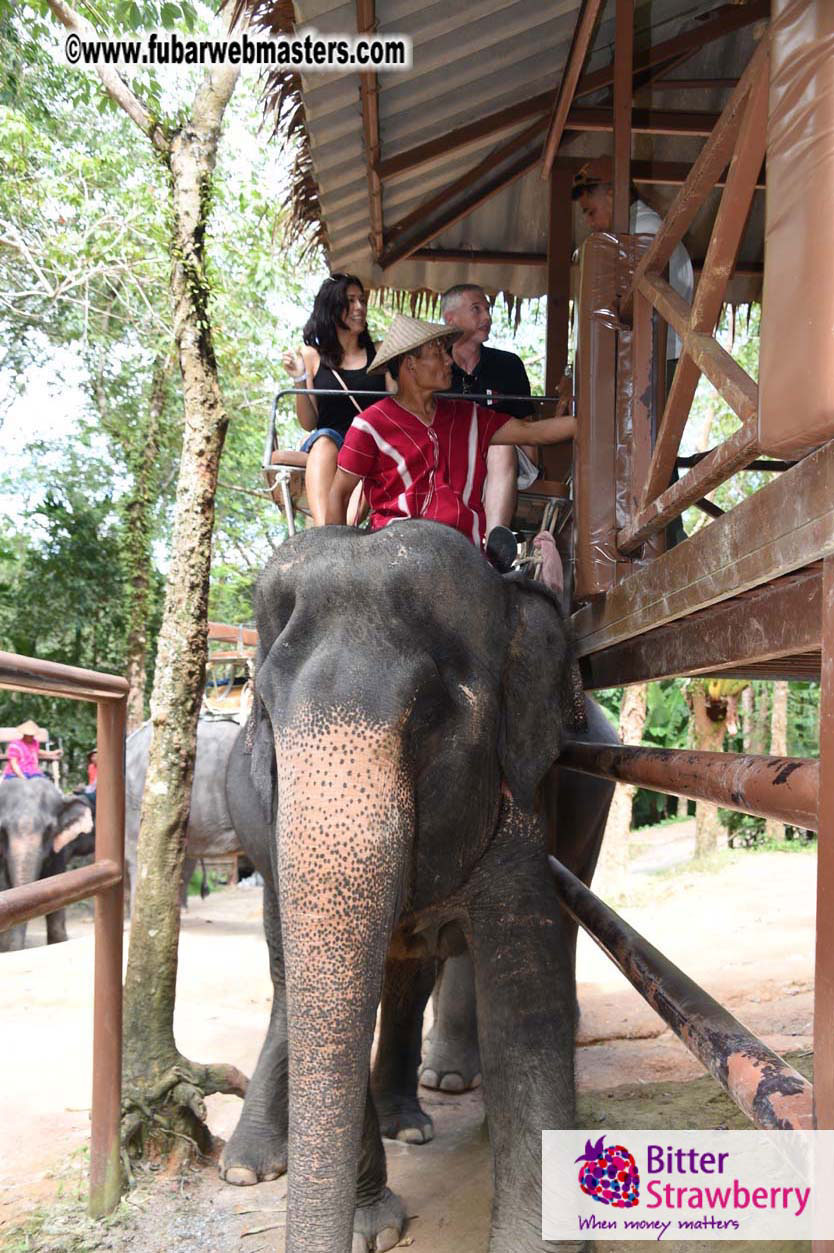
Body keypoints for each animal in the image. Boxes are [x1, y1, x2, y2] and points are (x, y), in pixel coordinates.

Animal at [219, 519, 615, 1253]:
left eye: (429, 715)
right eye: (266, 717)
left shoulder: (518, 793)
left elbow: (525, 991)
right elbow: (325, 995)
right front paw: (371, 1230)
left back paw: (439, 1092)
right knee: (310, 985)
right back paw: (249, 1167)